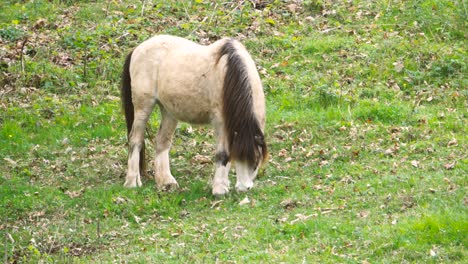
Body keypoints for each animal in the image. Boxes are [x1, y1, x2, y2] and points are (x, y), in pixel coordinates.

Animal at [120, 35, 266, 196]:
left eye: (256, 162)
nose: (245, 188)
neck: (228, 71)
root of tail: (137, 49)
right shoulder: (221, 123)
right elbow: (223, 153)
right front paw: (219, 189)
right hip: (143, 107)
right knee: (135, 140)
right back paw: (132, 181)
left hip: (169, 111)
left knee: (162, 141)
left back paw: (166, 182)